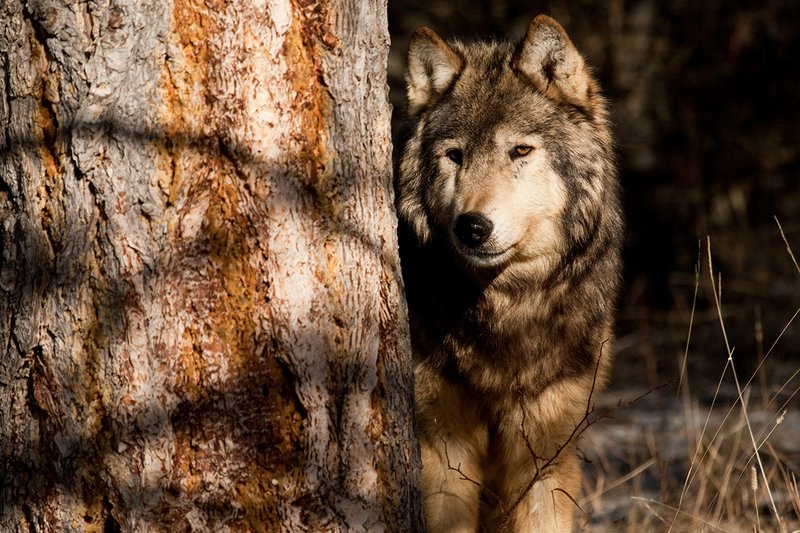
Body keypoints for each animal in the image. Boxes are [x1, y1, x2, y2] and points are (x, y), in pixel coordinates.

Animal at [395, 15, 623, 532]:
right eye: (455, 156)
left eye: (519, 151)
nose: (472, 227)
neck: (507, 310)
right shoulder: (443, 449)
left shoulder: (547, 453)